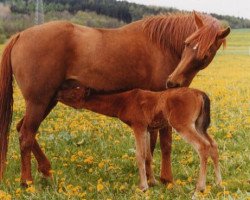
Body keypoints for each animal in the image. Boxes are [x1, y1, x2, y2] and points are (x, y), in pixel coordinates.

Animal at [56, 85, 221, 191]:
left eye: (74, 91)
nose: (58, 92)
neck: (123, 102)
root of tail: (201, 94)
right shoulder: (147, 129)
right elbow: (148, 156)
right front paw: (153, 182)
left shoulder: (138, 126)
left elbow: (139, 155)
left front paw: (143, 186)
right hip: (200, 125)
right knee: (213, 145)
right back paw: (219, 183)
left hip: (183, 125)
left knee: (203, 146)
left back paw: (200, 187)